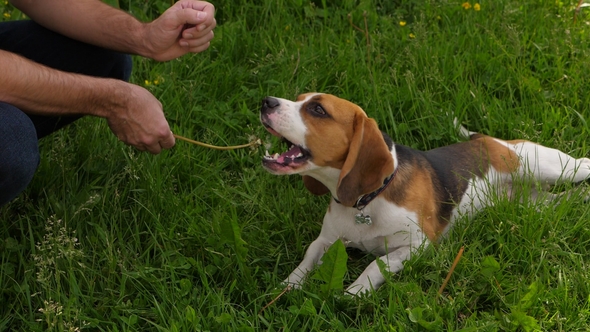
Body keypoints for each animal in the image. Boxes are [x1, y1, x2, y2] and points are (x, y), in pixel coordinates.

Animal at [260, 92, 590, 294]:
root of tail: (490, 139)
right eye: (298, 99)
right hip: (533, 204)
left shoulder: (417, 245)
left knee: (582, 165)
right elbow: (308, 257)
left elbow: (374, 264)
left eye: (317, 109)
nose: (265, 101)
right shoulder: (327, 240)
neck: (366, 203)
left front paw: (355, 291)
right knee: (561, 200)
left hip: (546, 166)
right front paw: (286, 287)